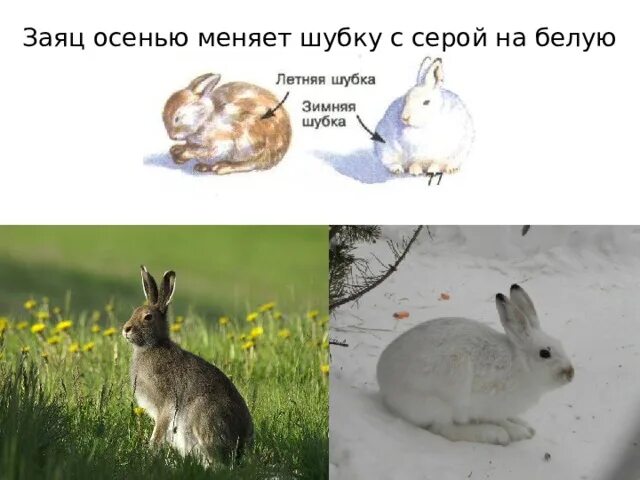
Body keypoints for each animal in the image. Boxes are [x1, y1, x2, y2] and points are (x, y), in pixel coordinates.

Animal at [122, 266, 254, 464]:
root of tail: (241, 445)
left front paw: (151, 452)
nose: (126, 329)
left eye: (148, 317)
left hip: (202, 418)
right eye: (135, 311)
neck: (153, 345)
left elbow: (159, 430)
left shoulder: (167, 403)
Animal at [162, 73, 291, 175]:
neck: (205, 118)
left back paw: (223, 167)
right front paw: (176, 150)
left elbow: (205, 151)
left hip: (250, 142)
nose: (172, 137)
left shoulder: (221, 142)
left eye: (177, 118)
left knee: (250, 163)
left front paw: (183, 154)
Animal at [376, 284, 574, 445]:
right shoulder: (490, 406)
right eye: (545, 353)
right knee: (444, 429)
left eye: (560, 344)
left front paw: (524, 426)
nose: (570, 373)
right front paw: (517, 432)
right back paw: (493, 434)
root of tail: (384, 384)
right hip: (449, 392)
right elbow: (500, 420)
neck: (522, 366)